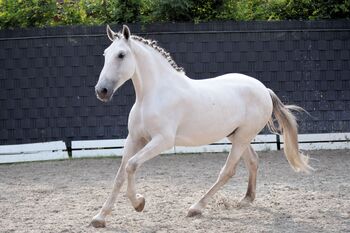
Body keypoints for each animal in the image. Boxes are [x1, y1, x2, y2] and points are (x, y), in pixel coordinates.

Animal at [90, 25, 312, 228]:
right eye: (105, 54)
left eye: (121, 55)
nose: (102, 91)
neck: (153, 95)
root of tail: (264, 89)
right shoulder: (135, 139)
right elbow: (120, 175)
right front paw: (100, 218)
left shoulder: (162, 141)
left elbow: (131, 165)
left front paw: (139, 203)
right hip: (236, 135)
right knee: (253, 161)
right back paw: (246, 199)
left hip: (242, 138)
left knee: (227, 171)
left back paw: (196, 208)